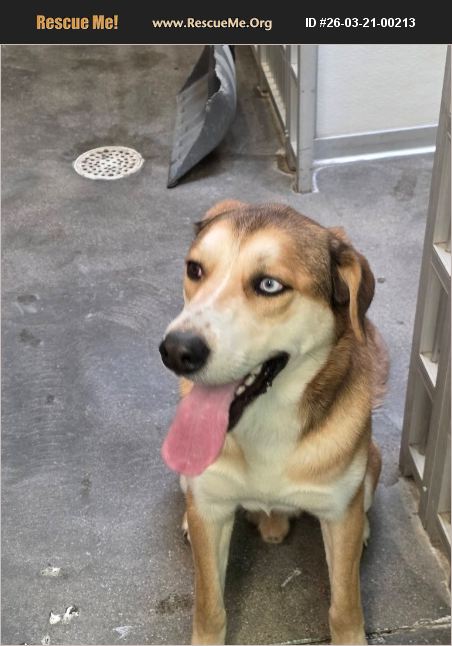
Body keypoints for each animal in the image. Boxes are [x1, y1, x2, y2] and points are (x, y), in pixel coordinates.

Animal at [159, 200, 388, 645]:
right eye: (195, 269)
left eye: (269, 285)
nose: (175, 351)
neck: (265, 423)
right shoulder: (212, 510)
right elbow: (208, 606)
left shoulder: (339, 515)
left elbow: (345, 607)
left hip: (372, 461)